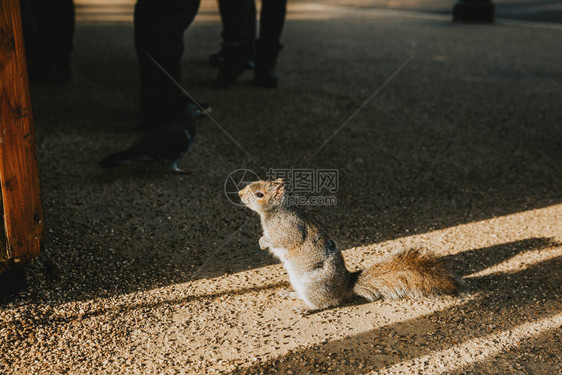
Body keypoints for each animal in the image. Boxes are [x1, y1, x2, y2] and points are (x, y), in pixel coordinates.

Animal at [238, 179, 462, 314]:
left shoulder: (289, 228)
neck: (275, 211)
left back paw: (306, 308)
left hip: (312, 285)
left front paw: (263, 242)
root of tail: (345, 285)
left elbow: (283, 239)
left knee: (323, 303)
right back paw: (291, 294)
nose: (239, 193)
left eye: (259, 194)